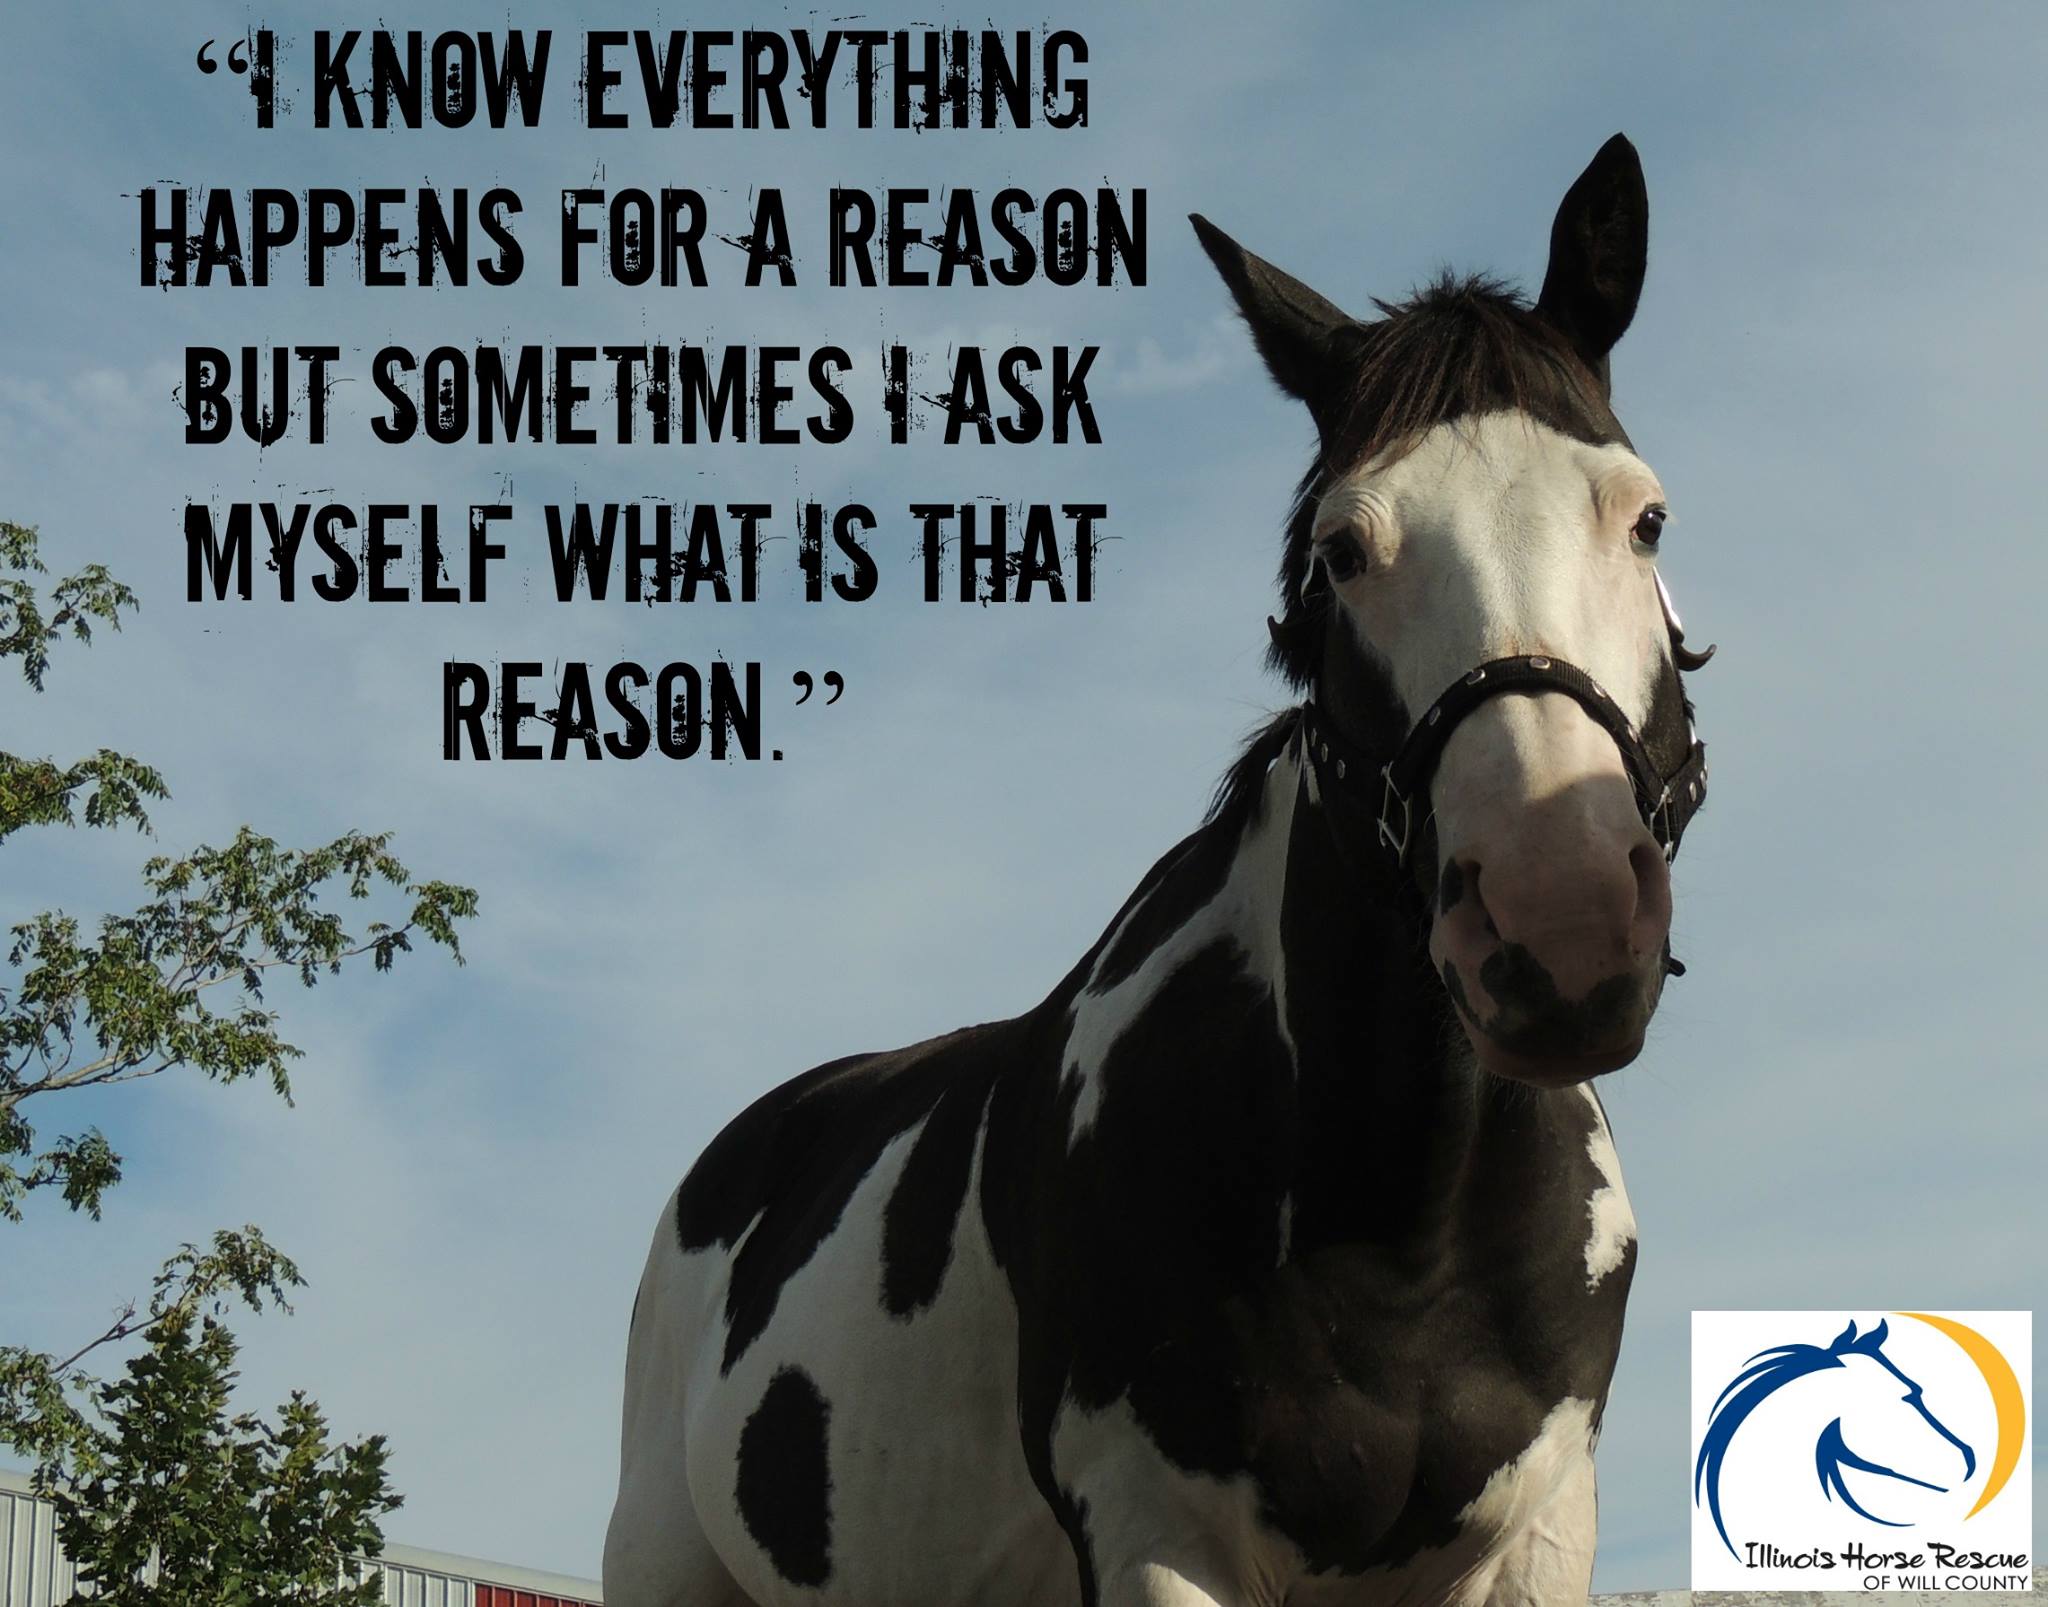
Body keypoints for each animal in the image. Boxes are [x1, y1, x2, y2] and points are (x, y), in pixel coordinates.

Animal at [604, 132, 1713, 1607]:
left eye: (1644, 520)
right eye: (1342, 550)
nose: (1560, 917)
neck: (1400, 1223)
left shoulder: (1535, 1532)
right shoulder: (1156, 1533)